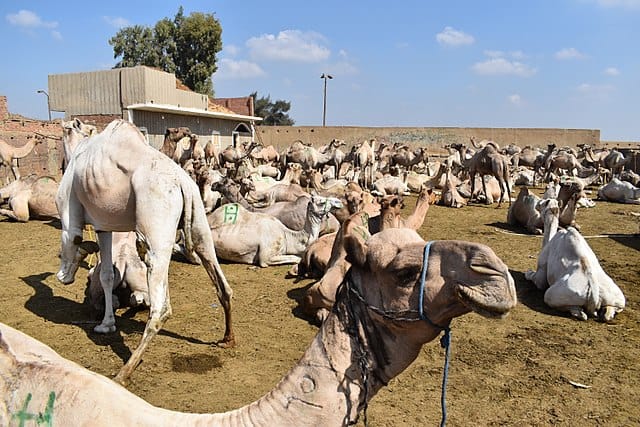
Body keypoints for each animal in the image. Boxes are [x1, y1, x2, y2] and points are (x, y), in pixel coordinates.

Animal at [55, 119, 234, 384]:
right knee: (222, 283)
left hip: (155, 227)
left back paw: (125, 371)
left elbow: (73, 244)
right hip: (199, 222)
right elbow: (107, 275)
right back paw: (227, 339)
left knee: (160, 308)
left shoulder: (70, 216)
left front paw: (67, 274)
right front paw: (106, 325)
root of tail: (182, 182)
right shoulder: (103, 225)